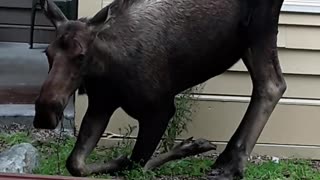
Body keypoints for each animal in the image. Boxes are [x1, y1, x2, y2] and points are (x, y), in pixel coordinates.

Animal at [33, 0, 286, 179]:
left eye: (81, 55)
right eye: (47, 53)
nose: (45, 112)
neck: (105, 71)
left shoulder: (160, 110)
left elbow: (135, 165)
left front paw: (188, 147)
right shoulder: (100, 105)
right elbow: (75, 163)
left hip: (259, 26)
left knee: (272, 84)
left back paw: (230, 166)